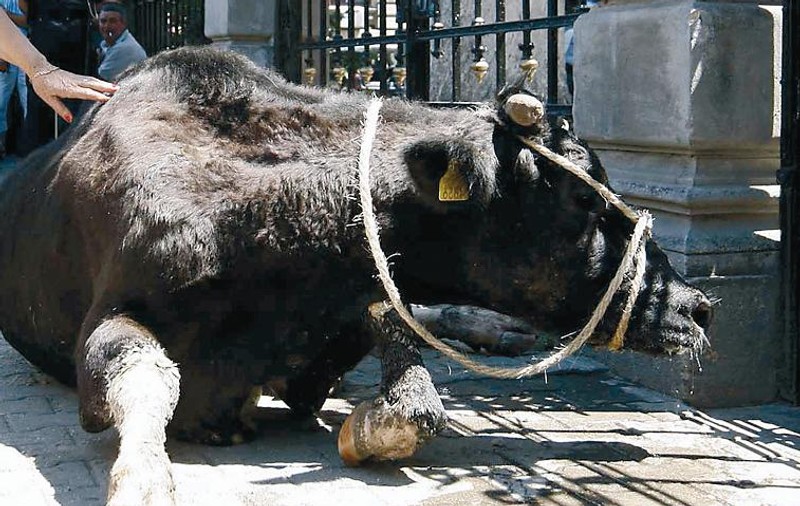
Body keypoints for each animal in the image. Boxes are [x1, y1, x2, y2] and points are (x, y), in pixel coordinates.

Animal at [0, 46, 712, 505]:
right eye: (582, 199)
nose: (698, 307)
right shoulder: (113, 316)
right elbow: (151, 381)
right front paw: (144, 481)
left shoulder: (350, 309)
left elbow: (414, 383)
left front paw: (368, 426)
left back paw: (494, 327)